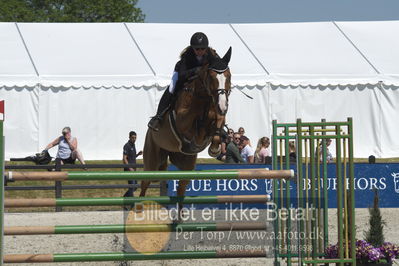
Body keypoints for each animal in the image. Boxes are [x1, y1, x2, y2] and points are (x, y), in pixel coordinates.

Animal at [142, 47, 233, 218]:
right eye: (212, 77)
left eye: (228, 76)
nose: (223, 106)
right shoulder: (182, 120)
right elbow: (195, 121)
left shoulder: (217, 114)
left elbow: (217, 124)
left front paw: (215, 147)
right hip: (152, 160)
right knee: (144, 182)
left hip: (185, 162)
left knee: (181, 186)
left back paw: (179, 217)